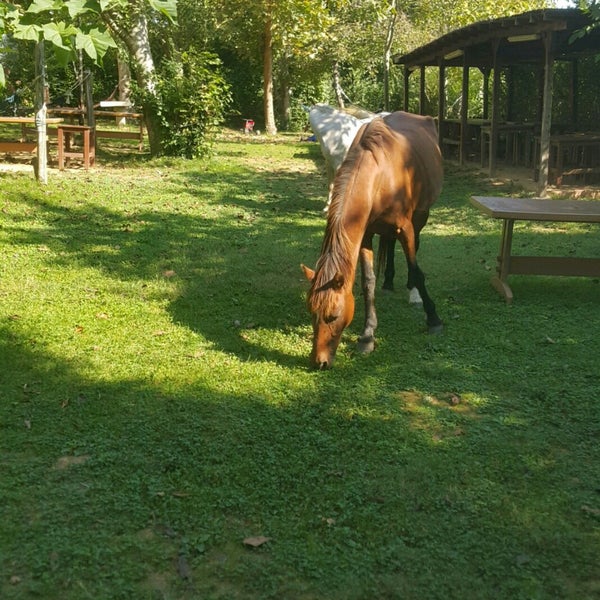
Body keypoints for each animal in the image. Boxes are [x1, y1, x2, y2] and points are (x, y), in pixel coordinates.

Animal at [302, 110, 442, 368]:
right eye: (311, 312)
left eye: (333, 316)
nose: (319, 362)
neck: (381, 175)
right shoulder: (365, 233)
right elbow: (368, 283)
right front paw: (367, 335)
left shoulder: (406, 228)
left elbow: (416, 269)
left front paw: (433, 317)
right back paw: (389, 281)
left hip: (421, 215)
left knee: (415, 250)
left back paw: (414, 293)